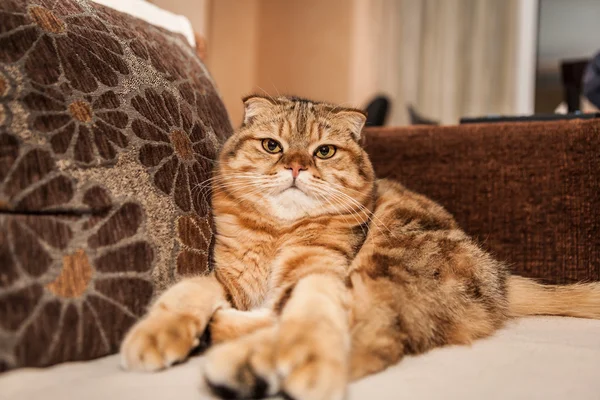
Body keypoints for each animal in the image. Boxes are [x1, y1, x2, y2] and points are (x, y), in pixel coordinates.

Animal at [120, 95, 600, 398]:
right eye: (272, 146)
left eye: (325, 151)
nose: (295, 167)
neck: (280, 231)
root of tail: (500, 279)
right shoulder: (231, 277)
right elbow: (193, 288)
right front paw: (158, 333)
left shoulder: (318, 270)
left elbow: (305, 313)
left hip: (385, 257)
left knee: (375, 336)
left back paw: (248, 366)